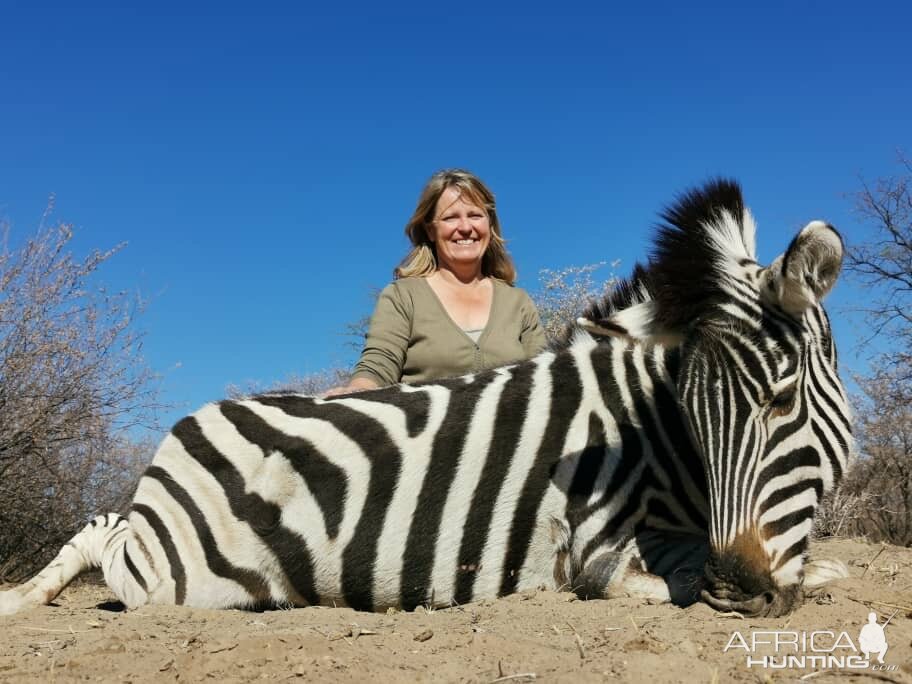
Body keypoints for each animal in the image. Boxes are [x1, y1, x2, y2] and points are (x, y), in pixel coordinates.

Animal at [0, 179, 856, 616]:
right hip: (178, 577)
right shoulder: (595, 545)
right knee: (104, 538)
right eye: (695, 414)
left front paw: (816, 571)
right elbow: (646, 579)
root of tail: (190, 422)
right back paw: (21, 599)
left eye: (781, 401)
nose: (739, 591)